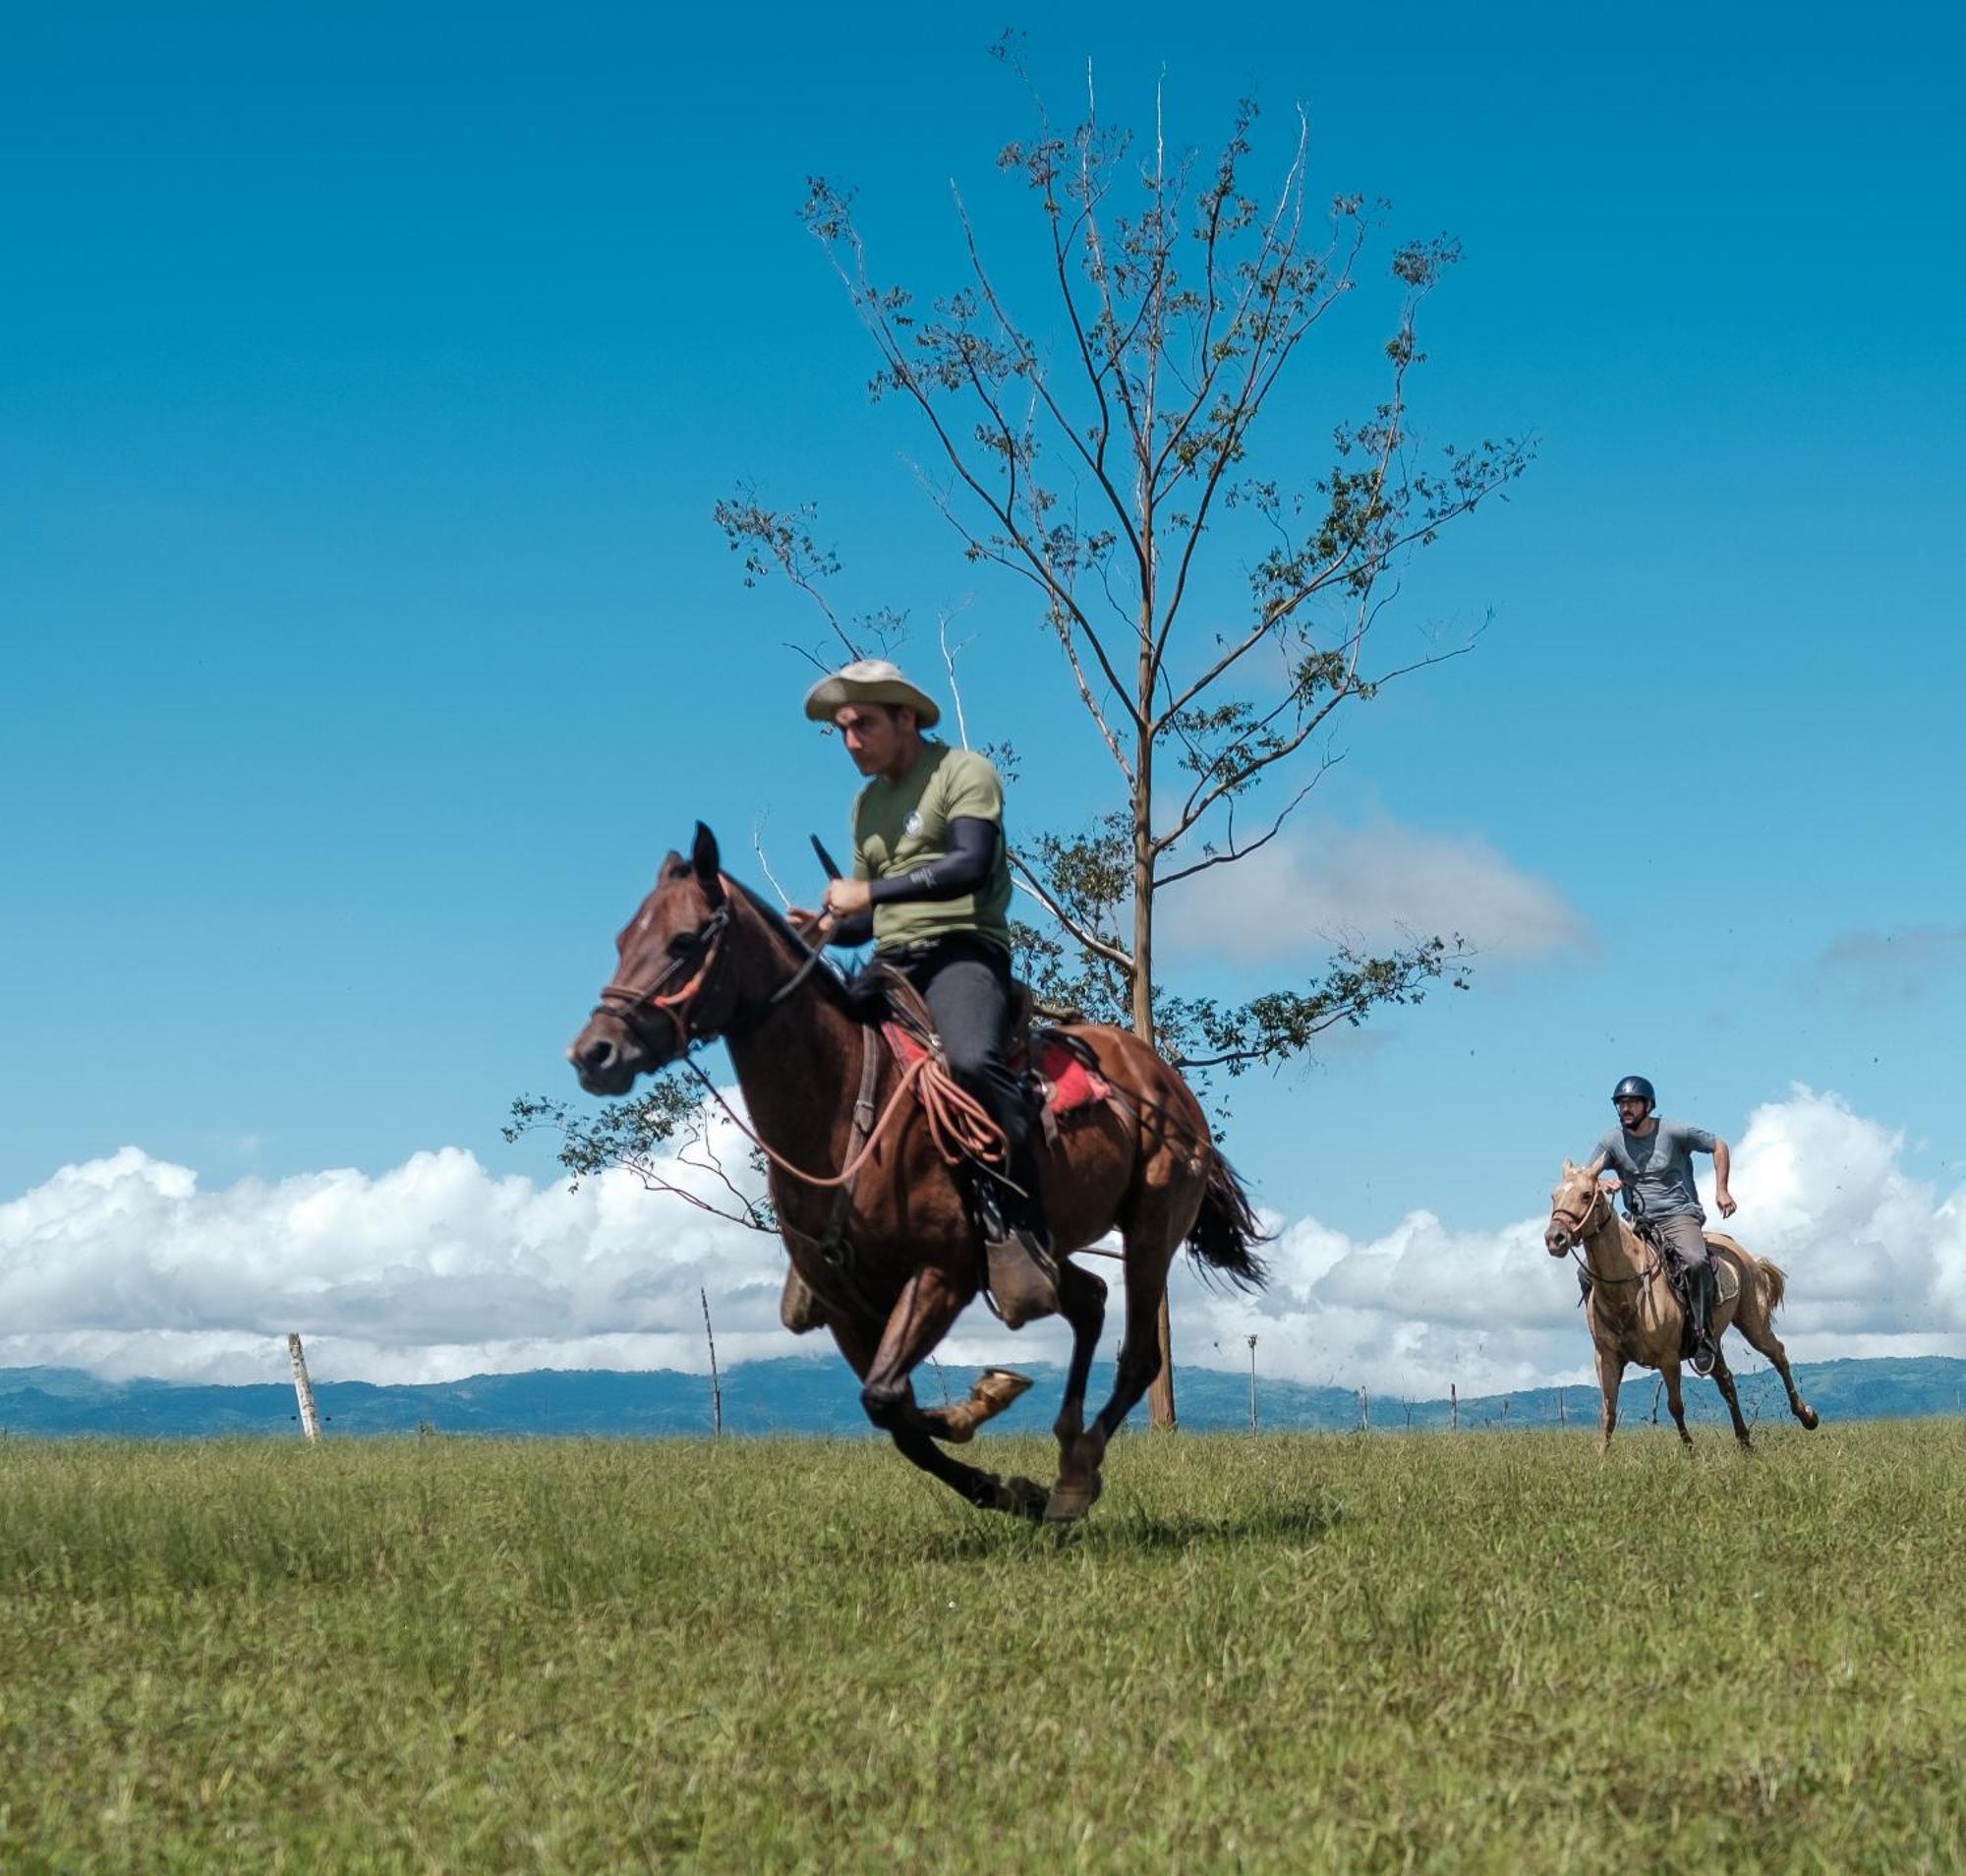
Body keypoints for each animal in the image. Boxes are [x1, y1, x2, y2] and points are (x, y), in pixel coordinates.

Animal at [562, 830, 1266, 1518]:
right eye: (622, 941)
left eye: (684, 941)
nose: (593, 1054)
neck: (843, 1105)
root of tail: (1161, 1076)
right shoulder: (845, 1305)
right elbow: (895, 1414)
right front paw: (1002, 1480)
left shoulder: (941, 1276)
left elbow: (891, 1400)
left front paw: (984, 1407)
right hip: (1048, 1248)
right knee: (1089, 1300)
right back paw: (1064, 1453)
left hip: (1150, 1228)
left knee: (1139, 1356)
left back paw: (1075, 1474)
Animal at [1541, 1156, 1817, 1447]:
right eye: (1554, 1196)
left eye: (1586, 1195)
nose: (1554, 1238)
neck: (1627, 1288)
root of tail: (1745, 1255)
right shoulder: (1606, 1357)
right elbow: (1608, 1413)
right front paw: (1602, 1456)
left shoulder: (1669, 1358)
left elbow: (1675, 1406)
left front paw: (1690, 1450)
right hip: (1712, 1342)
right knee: (1727, 1382)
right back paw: (1745, 1442)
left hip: (1753, 1323)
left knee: (1778, 1354)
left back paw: (1807, 1416)